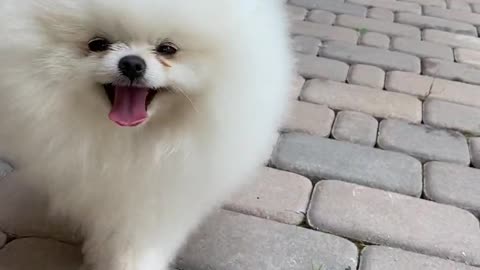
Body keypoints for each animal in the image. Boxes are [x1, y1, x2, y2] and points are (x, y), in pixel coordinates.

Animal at [0, 0, 290, 270]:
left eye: (167, 49)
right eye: (98, 44)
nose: (131, 63)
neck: (131, 139)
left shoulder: (162, 193)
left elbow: (139, 240)